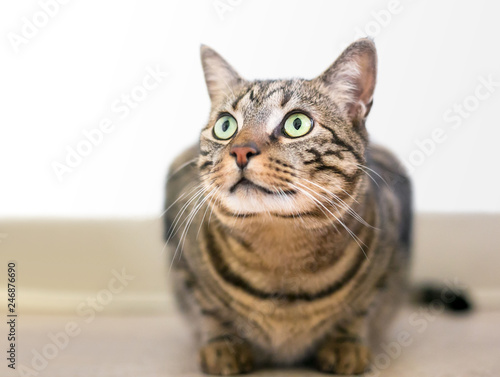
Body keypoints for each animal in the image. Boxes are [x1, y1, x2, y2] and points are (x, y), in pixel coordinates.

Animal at [164, 38, 410, 374]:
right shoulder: (186, 266)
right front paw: (224, 346)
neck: (282, 250)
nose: (240, 150)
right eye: (225, 126)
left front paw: (345, 344)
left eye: (297, 123)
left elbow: (362, 307)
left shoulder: (389, 256)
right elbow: (208, 309)